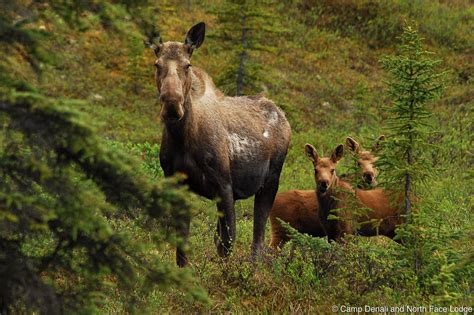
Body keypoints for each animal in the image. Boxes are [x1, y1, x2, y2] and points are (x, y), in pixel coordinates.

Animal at [146, 23, 290, 268]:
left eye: (187, 65)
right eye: (157, 64)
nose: (172, 105)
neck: (183, 137)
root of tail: (283, 115)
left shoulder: (224, 185)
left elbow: (228, 243)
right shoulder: (177, 183)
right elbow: (182, 247)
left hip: (271, 181)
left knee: (258, 239)